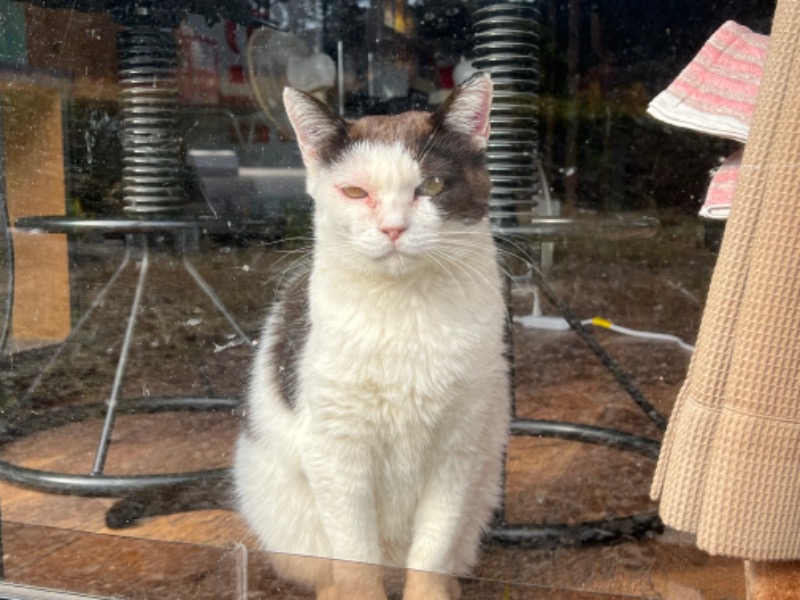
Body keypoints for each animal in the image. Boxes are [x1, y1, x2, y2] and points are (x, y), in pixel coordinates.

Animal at [234, 75, 510, 600]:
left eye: (433, 185)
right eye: (355, 191)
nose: (393, 228)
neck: (406, 313)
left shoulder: (459, 449)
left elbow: (433, 548)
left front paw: (431, 593)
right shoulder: (336, 451)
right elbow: (356, 557)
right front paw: (357, 588)